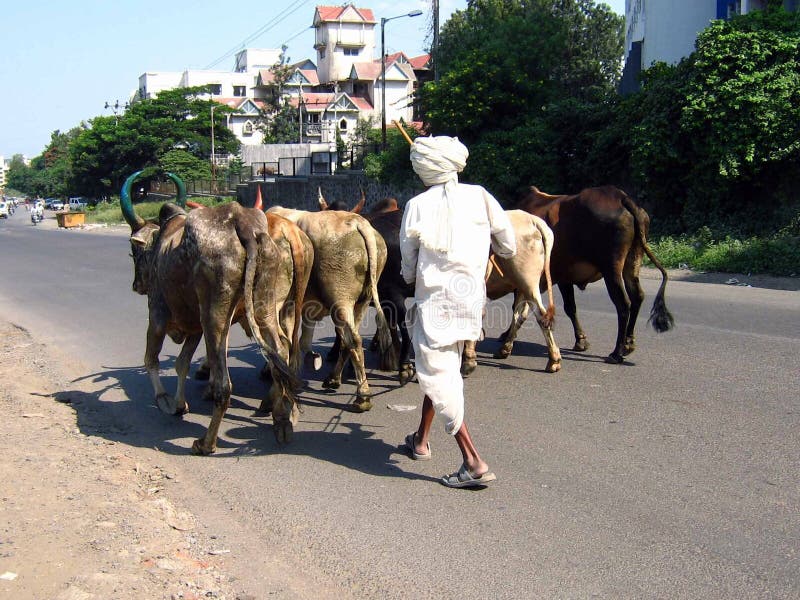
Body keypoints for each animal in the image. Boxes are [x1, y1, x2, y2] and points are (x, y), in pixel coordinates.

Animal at [121, 176, 304, 452]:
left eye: (135, 252)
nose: (136, 285)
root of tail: (243, 224)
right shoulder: (195, 327)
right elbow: (181, 364)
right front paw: (179, 403)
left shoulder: (158, 314)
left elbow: (151, 359)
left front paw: (164, 400)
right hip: (264, 308)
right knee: (280, 353)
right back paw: (282, 420)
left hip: (214, 314)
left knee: (224, 385)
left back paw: (206, 443)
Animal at [268, 206, 392, 412]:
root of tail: (358, 222)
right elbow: (300, 340)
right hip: (361, 302)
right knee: (346, 340)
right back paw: (334, 379)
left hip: (340, 299)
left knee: (353, 340)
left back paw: (362, 396)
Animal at [460, 211, 560, 376]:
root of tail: (532, 220)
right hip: (523, 286)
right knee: (521, 315)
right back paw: (504, 349)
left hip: (526, 281)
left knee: (540, 316)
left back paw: (554, 361)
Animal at [520, 185, 676, 364]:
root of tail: (620, 197)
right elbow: (570, 307)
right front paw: (581, 341)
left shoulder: (561, 277)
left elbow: (569, 307)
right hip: (633, 261)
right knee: (637, 297)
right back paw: (628, 344)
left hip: (611, 269)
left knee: (623, 304)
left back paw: (616, 352)